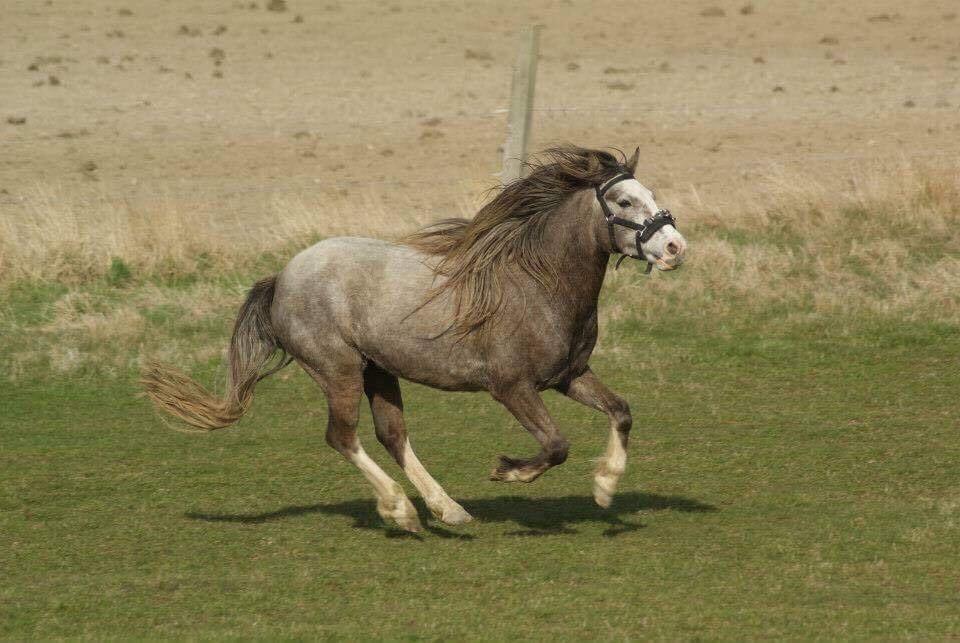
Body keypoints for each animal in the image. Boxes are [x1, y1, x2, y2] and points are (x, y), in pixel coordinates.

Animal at [142, 146, 688, 532]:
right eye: (624, 201)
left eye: (650, 193)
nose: (675, 247)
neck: (536, 284)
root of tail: (282, 278)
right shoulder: (511, 387)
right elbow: (556, 445)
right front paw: (508, 472)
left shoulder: (568, 376)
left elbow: (621, 411)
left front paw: (605, 487)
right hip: (338, 371)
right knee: (343, 437)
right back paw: (401, 511)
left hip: (379, 371)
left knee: (392, 435)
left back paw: (448, 510)